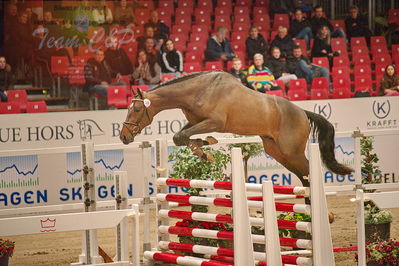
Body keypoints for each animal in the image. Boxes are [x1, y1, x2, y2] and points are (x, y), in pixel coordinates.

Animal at [119, 71, 354, 187]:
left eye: (137, 108)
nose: (124, 136)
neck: (199, 90)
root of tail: (302, 112)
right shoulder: (195, 121)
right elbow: (180, 136)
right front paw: (203, 148)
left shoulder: (215, 122)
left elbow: (183, 136)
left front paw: (205, 149)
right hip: (277, 152)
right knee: (303, 177)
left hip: (292, 152)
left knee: (308, 171)